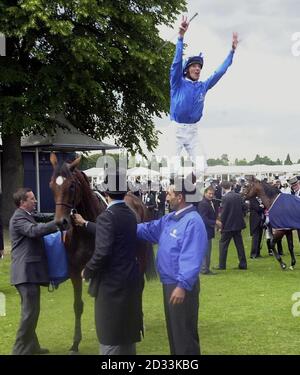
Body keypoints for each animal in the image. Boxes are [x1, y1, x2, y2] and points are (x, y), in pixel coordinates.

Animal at [48, 152, 157, 352]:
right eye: (51, 185)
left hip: (141, 256)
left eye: (72, 185)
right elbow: (78, 305)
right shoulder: (75, 271)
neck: (86, 232)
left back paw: (140, 322)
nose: (61, 222)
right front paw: (75, 343)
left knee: (139, 287)